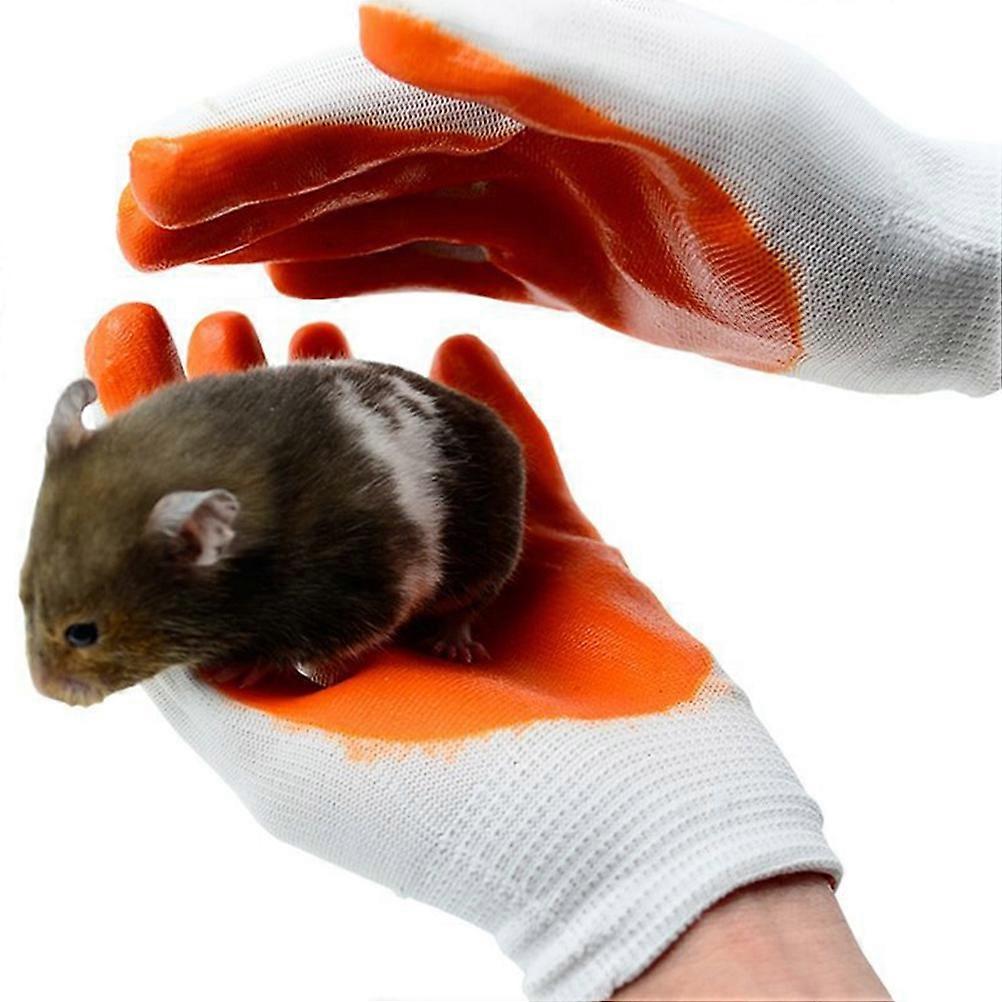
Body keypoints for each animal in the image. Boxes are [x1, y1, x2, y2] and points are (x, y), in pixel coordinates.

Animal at [20, 360, 526, 706]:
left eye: (82, 633)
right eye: (21, 596)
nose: (45, 691)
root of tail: (503, 430)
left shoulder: (362, 591)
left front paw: (239, 671)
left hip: (492, 554)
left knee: (469, 606)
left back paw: (452, 646)